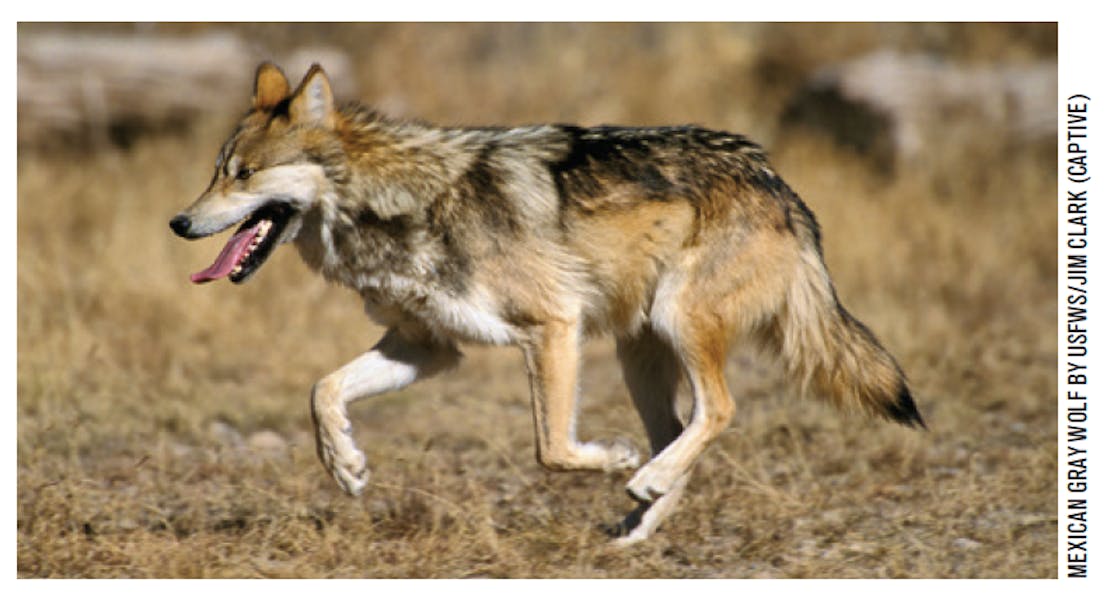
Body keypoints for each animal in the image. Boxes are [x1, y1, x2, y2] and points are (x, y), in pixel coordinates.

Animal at [166, 63, 927, 544]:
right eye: (215, 172)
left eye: (244, 174)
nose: (178, 222)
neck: (398, 204)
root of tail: (777, 181)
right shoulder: (427, 347)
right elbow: (322, 390)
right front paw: (346, 465)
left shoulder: (552, 328)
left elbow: (552, 449)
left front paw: (612, 459)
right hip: (639, 354)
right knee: (681, 430)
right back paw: (637, 525)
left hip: (676, 324)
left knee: (718, 411)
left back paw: (642, 478)